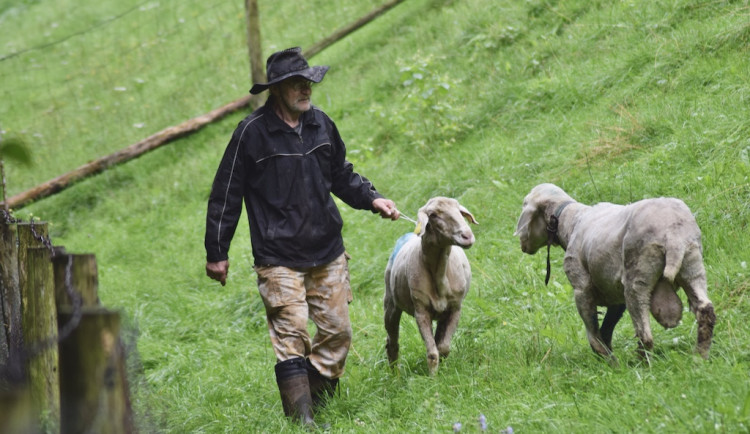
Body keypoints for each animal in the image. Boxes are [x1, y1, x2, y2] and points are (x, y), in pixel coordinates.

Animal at [384, 198, 478, 374]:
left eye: (459, 210)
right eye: (433, 215)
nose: (467, 236)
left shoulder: (455, 308)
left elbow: (443, 347)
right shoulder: (421, 311)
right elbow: (433, 353)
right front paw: (433, 377)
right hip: (390, 304)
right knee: (391, 342)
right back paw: (395, 375)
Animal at [516, 183, 716, 362]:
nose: (522, 245)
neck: (571, 221)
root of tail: (673, 233)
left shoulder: (581, 288)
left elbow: (594, 331)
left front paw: (607, 361)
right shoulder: (615, 296)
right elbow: (606, 330)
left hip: (637, 277)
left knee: (645, 334)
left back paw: (642, 365)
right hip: (692, 265)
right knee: (705, 310)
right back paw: (699, 358)